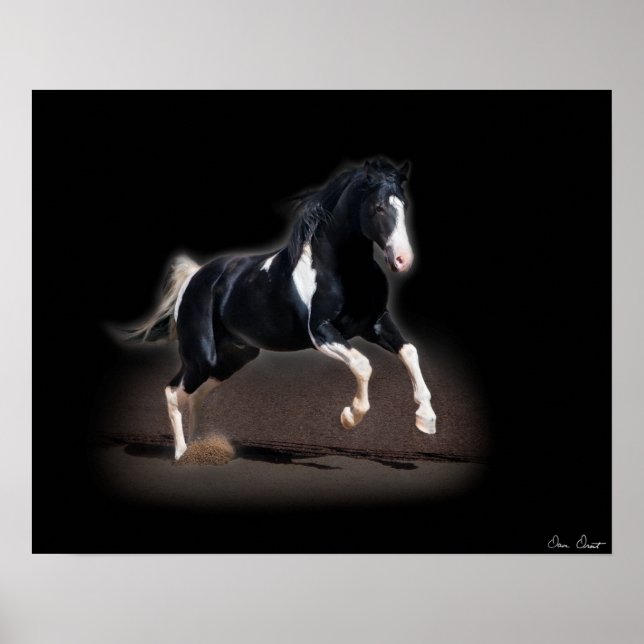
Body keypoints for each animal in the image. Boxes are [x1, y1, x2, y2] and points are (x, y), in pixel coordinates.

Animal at [126, 158, 437, 460]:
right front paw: (349, 417)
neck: (342, 270)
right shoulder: (321, 333)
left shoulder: (375, 323)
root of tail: (194, 277)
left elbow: (410, 352)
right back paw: (181, 454)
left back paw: (197, 448)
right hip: (201, 357)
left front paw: (426, 420)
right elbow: (363, 364)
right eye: (379, 207)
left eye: (404, 205)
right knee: (173, 392)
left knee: (193, 395)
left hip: (232, 358)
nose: (403, 260)